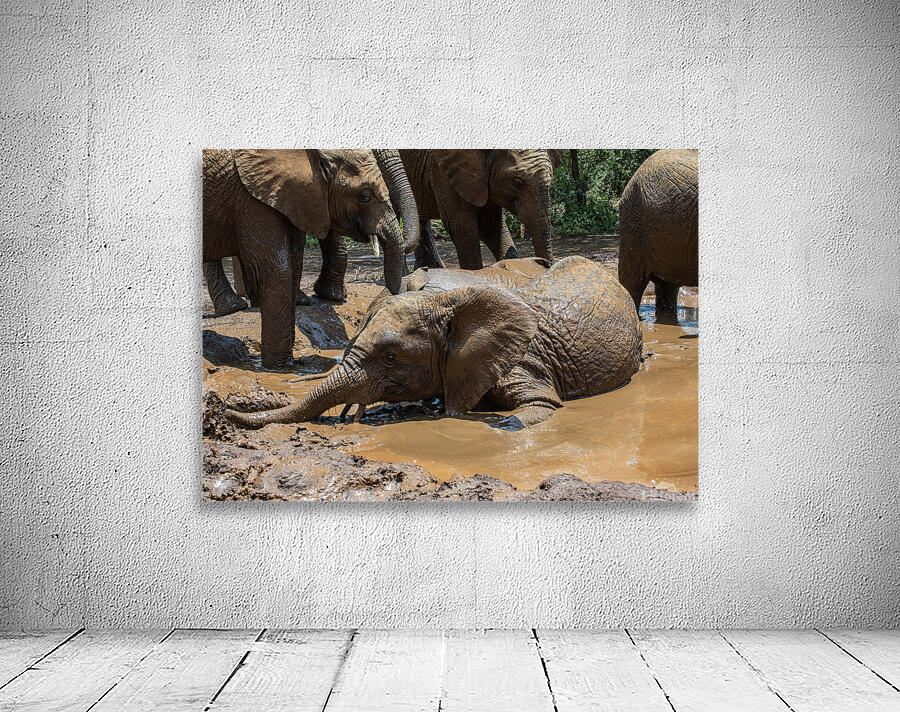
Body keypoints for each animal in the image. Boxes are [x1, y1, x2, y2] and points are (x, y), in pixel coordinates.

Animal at [202, 148, 418, 369]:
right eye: (364, 196)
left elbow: (294, 265)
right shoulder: (251, 198)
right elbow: (276, 271)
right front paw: (278, 367)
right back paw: (233, 307)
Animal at [226, 256, 642, 429]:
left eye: (391, 356)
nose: (226, 413)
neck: (448, 307)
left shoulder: (519, 360)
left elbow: (537, 408)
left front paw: (496, 423)